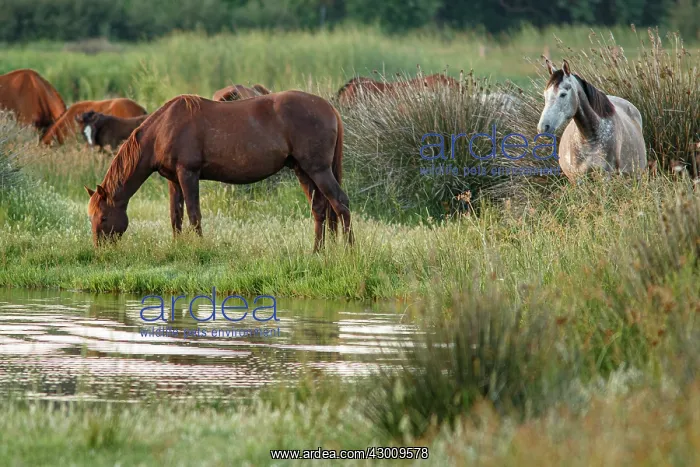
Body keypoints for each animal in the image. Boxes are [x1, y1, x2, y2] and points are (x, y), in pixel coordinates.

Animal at [84, 92, 352, 252]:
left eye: (104, 217)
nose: (99, 250)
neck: (163, 128)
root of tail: (329, 108)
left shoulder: (188, 174)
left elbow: (194, 214)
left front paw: (200, 247)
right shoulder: (173, 180)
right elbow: (175, 215)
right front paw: (177, 246)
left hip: (318, 170)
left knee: (340, 203)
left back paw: (349, 251)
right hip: (303, 171)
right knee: (320, 208)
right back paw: (318, 251)